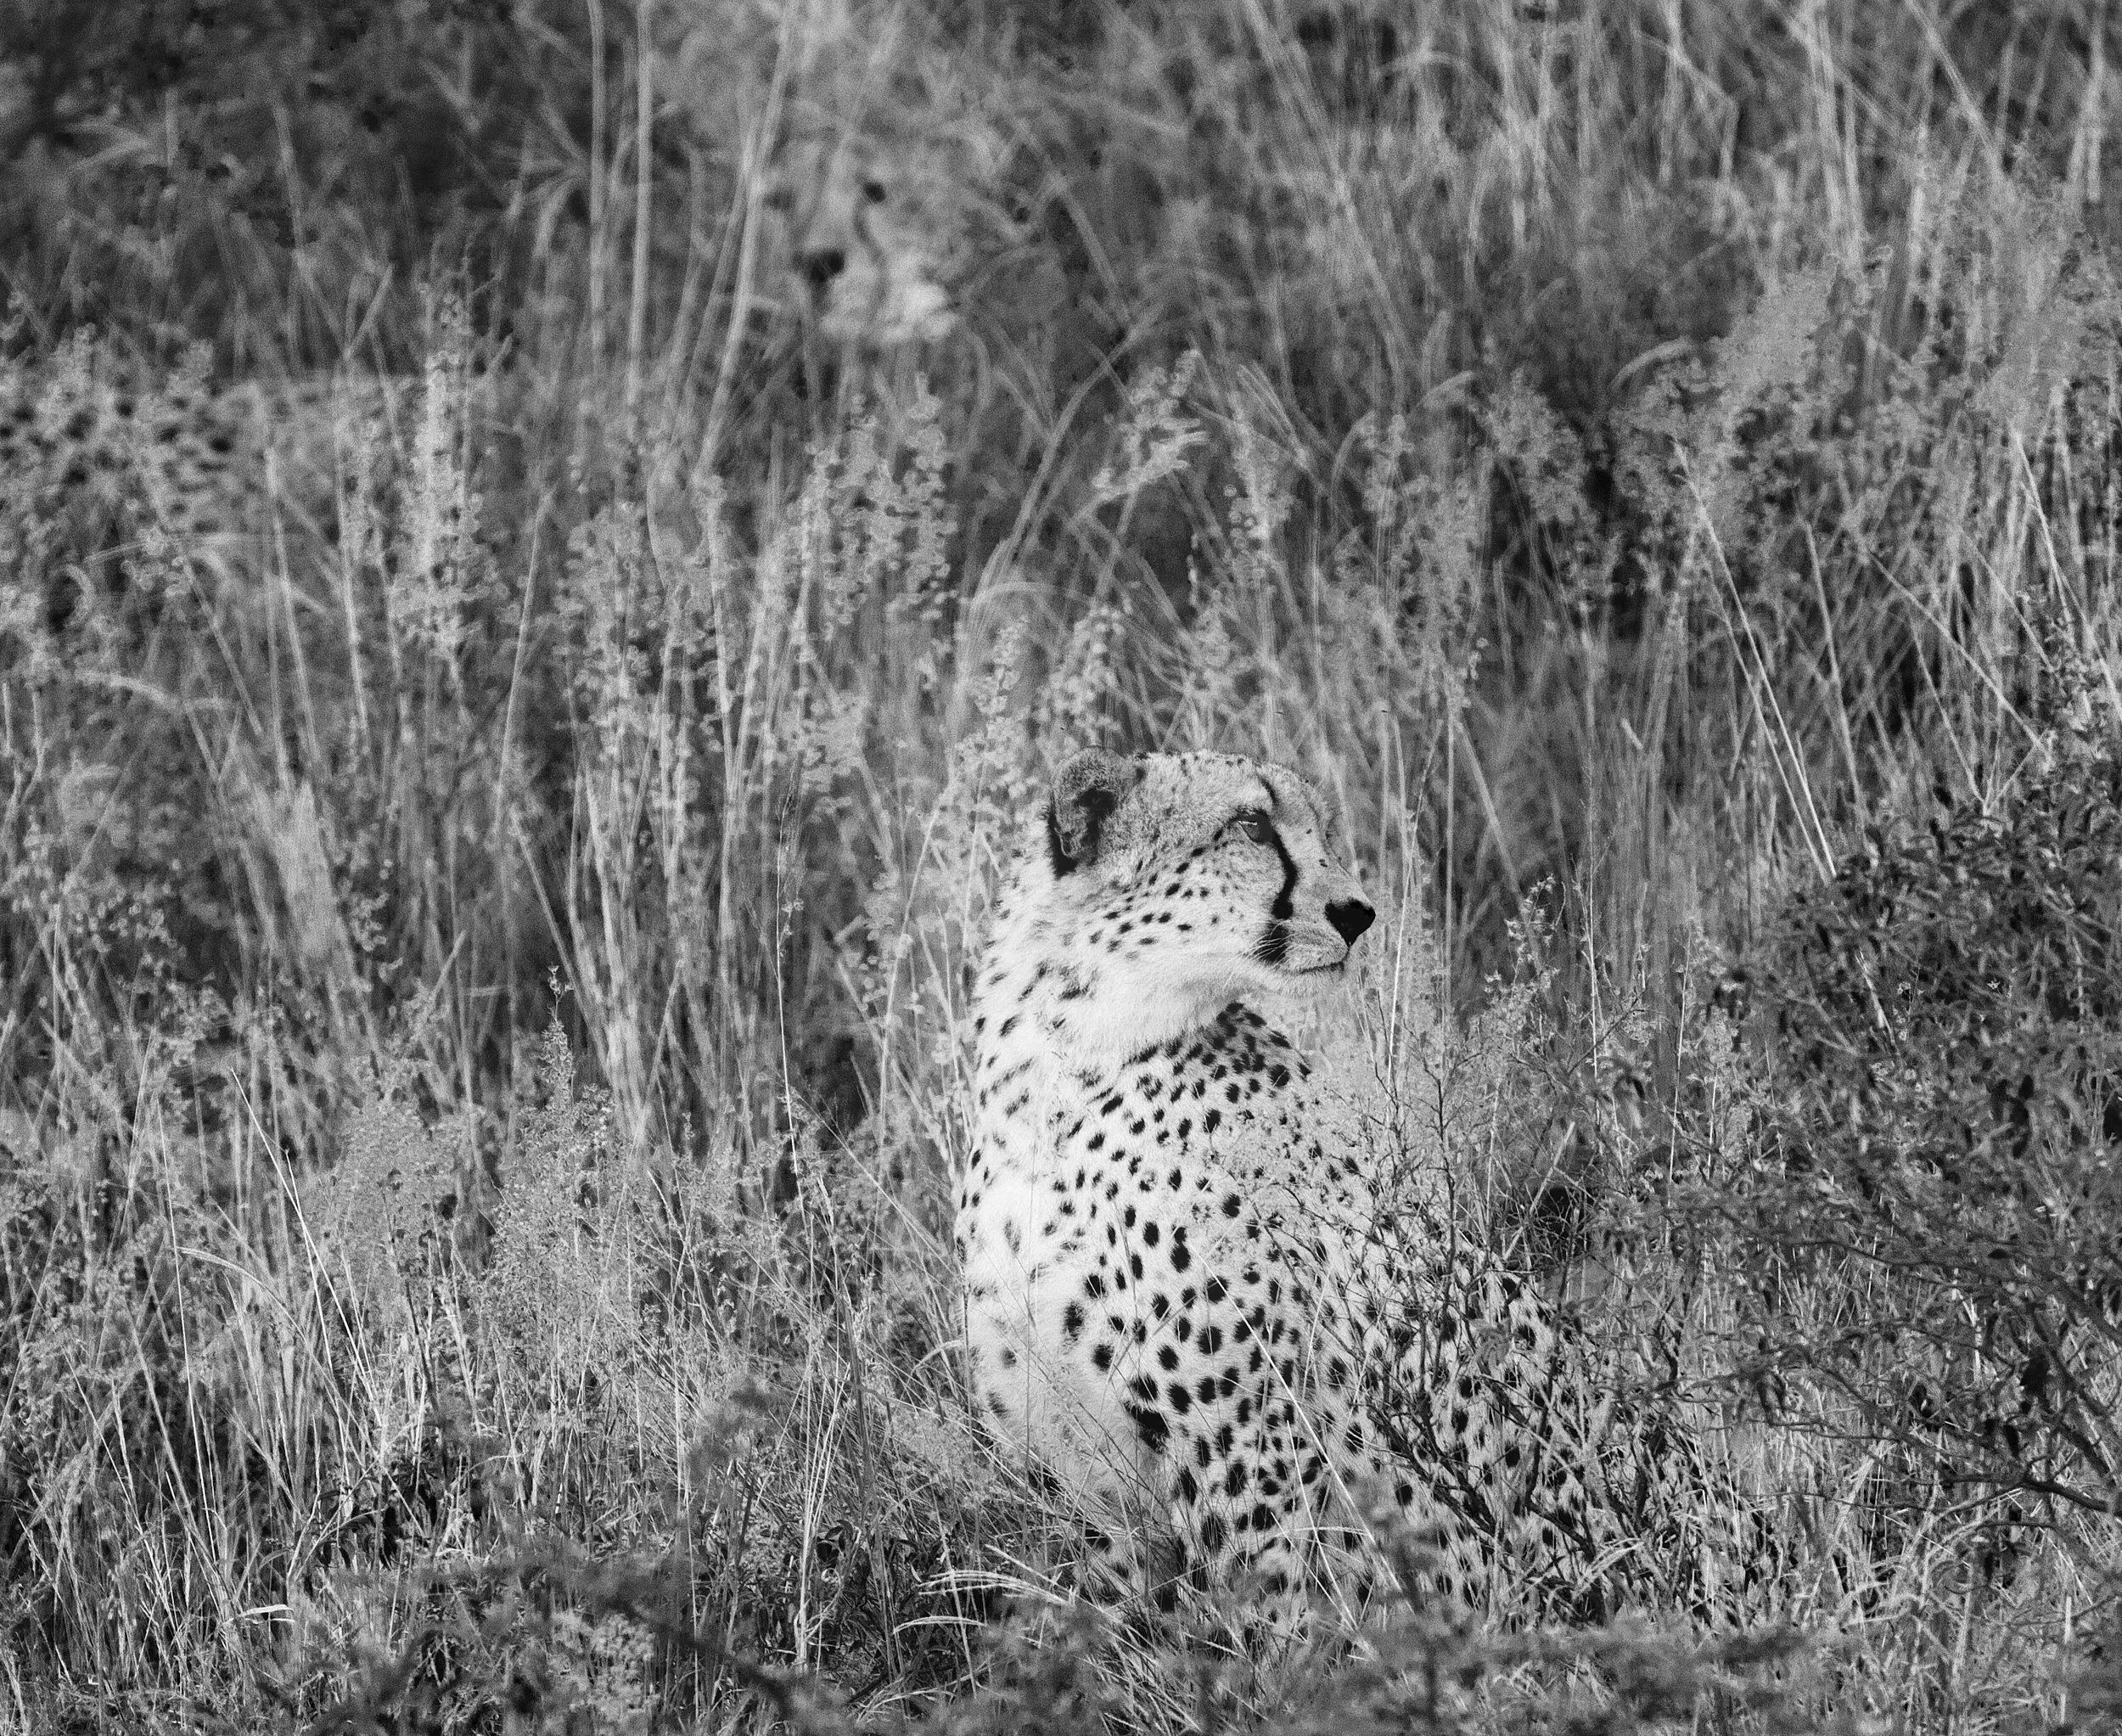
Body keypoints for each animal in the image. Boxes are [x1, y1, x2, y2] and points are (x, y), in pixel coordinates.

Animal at [959, 748, 1772, 1625]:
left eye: (1312, 825)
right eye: (1253, 825)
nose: (1358, 913)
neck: (1063, 1069)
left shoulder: (1255, 1476)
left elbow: (1277, 1641)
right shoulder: (1097, 1493)